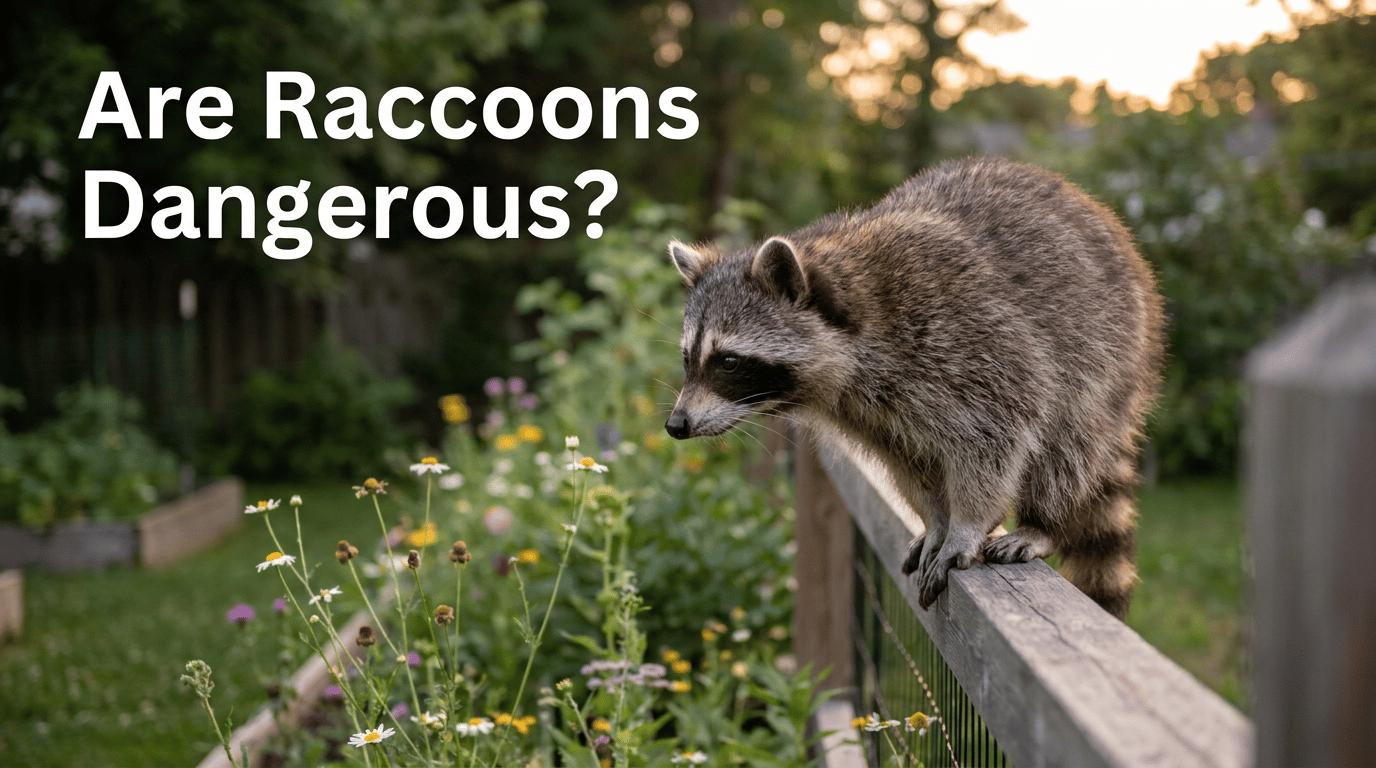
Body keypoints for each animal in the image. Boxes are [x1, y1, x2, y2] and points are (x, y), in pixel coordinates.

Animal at [664, 156, 1163, 620]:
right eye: (688, 359)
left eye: (728, 362)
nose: (676, 424)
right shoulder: (869, 411)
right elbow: (907, 459)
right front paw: (937, 520)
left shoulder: (969, 339)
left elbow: (1002, 429)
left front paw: (967, 522)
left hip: (1106, 346)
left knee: (1068, 441)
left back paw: (1043, 522)